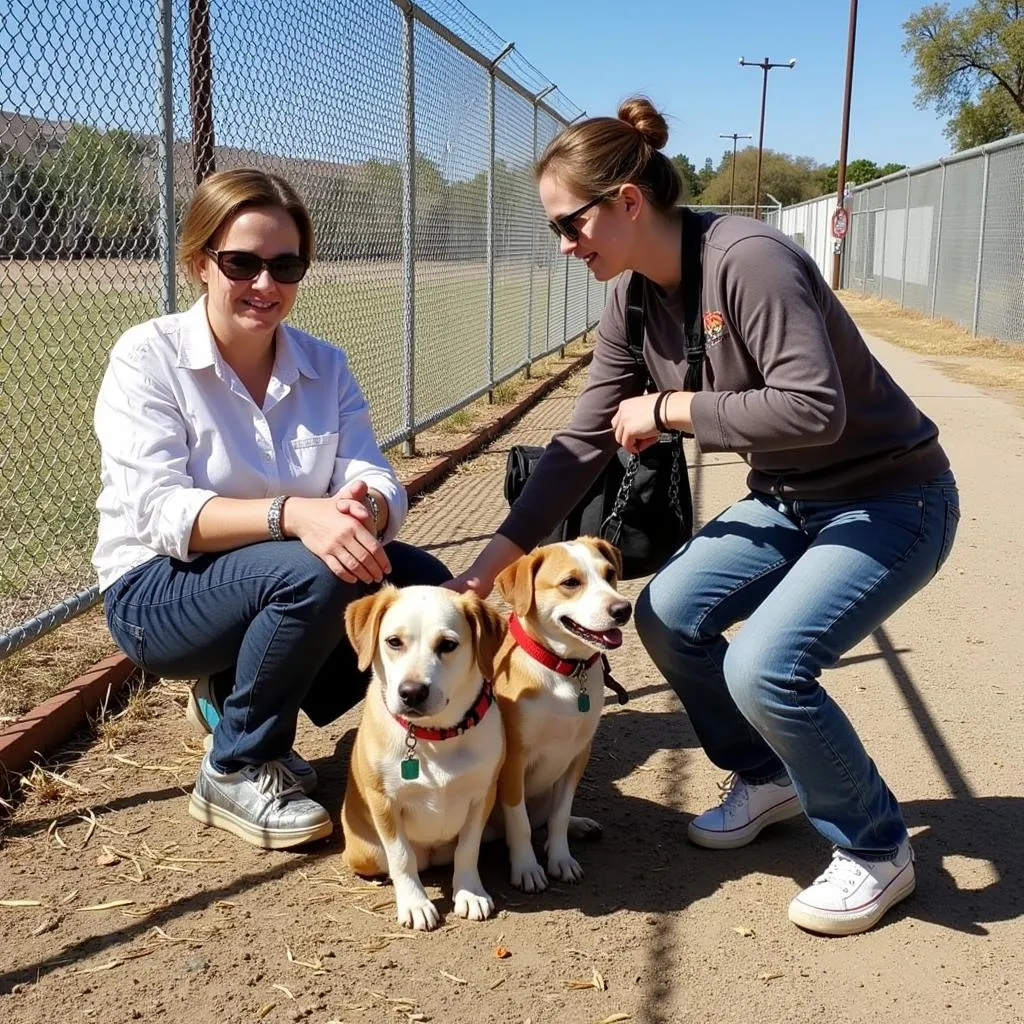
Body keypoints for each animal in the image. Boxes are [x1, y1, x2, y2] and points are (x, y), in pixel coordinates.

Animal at [342, 585, 505, 929]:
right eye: (393, 641)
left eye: (448, 645)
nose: (412, 692)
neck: (434, 737)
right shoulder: (384, 802)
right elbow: (402, 857)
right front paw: (415, 903)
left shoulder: (482, 795)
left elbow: (468, 849)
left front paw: (469, 892)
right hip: (365, 854)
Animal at [489, 540, 626, 892]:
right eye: (570, 583)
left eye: (610, 574)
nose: (623, 609)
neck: (565, 671)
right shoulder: (513, 761)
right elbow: (520, 823)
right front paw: (526, 867)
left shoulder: (577, 753)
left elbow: (559, 815)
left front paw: (561, 858)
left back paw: (578, 826)